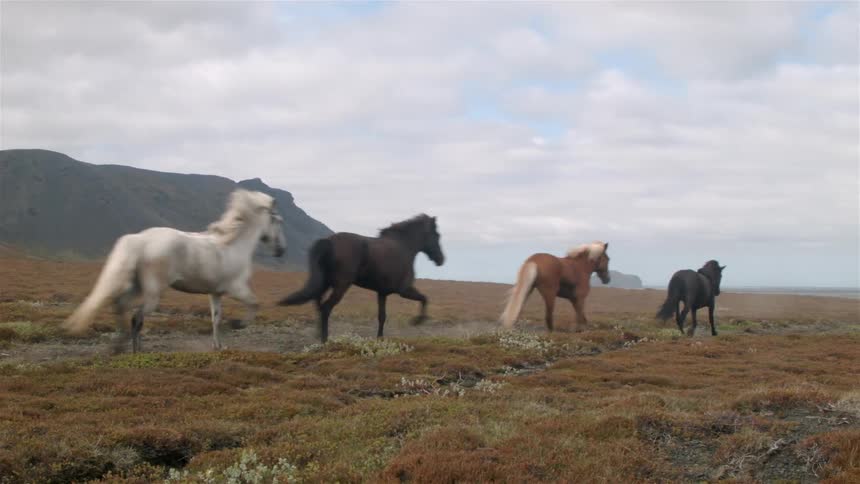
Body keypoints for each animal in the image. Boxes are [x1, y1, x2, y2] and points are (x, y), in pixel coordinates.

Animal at [63, 189, 287, 352]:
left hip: (137, 286)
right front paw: (237, 324)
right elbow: (254, 304)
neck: (233, 246)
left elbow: (215, 318)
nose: (281, 251)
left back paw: (120, 346)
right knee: (137, 317)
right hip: (154, 291)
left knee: (121, 306)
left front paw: (218, 346)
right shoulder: (236, 289)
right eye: (277, 220)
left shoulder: (215, 293)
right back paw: (135, 350)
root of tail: (141, 240)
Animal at [278, 214, 445, 343]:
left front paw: (379, 338)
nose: (441, 260)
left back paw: (319, 335)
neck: (403, 247)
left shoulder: (382, 293)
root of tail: (329, 241)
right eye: (437, 235)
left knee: (317, 304)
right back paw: (325, 340)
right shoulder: (403, 290)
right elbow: (424, 299)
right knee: (325, 308)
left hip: (325, 283)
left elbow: (382, 316)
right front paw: (417, 321)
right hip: (340, 285)